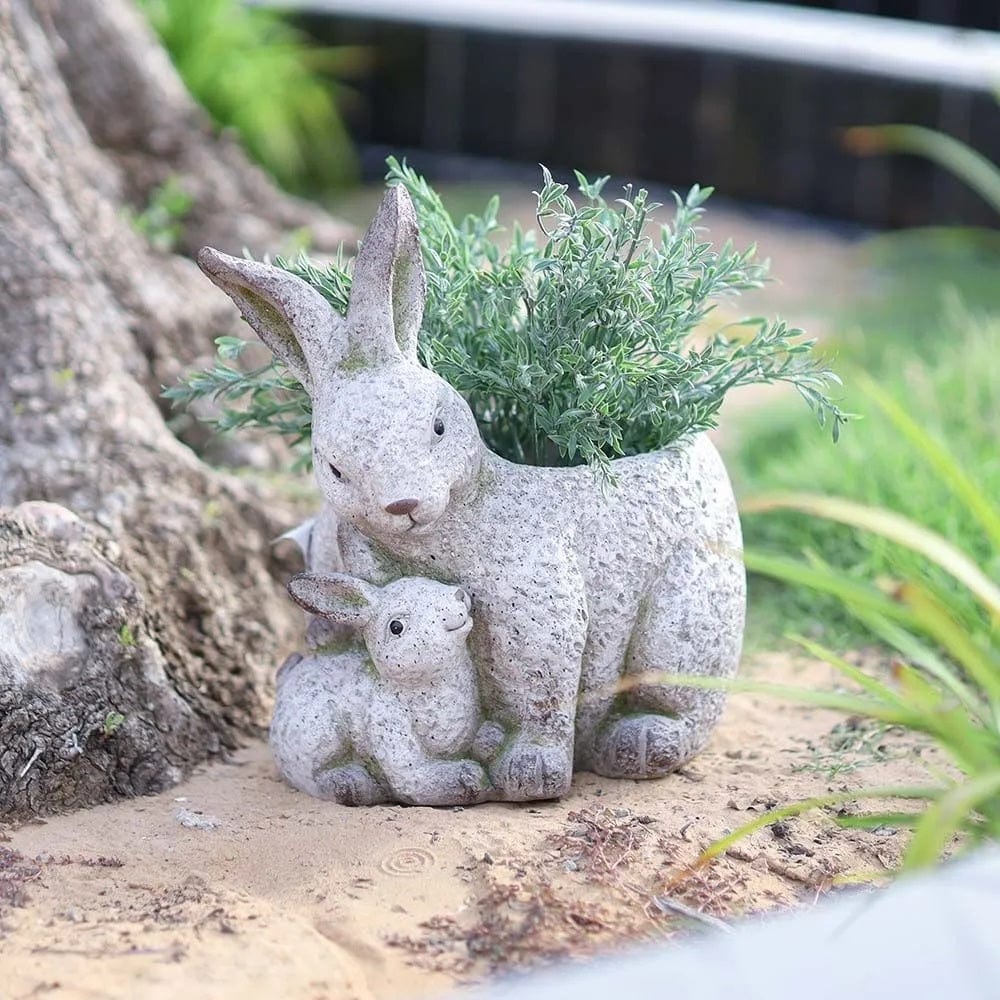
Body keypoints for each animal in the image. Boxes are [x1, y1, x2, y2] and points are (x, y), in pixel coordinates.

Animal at [270, 571, 502, 806]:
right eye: (396, 627)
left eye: (425, 582)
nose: (457, 596)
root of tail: (284, 685)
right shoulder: (387, 720)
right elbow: (413, 779)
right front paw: (466, 777)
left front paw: (491, 739)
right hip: (320, 730)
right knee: (311, 776)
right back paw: (351, 783)